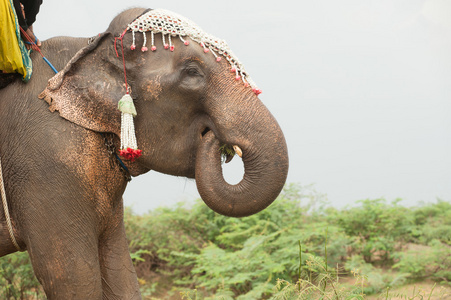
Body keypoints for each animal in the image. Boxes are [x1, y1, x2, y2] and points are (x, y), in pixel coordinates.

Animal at [0, 7, 290, 300]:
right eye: (192, 72)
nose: (213, 136)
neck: (91, 48)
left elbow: (120, 270)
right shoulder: (45, 164)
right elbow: (71, 279)